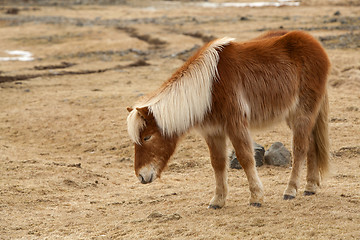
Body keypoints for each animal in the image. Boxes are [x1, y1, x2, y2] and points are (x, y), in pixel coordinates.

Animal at [126, 30, 330, 208]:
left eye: (147, 137)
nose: (141, 176)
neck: (209, 88)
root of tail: (316, 45)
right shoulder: (212, 131)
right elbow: (217, 163)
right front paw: (218, 200)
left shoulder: (236, 125)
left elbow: (245, 157)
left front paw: (256, 197)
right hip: (292, 115)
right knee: (311, 145)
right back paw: (310, 187)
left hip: (302, 112)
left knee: (300, 148)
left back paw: (291, 190)